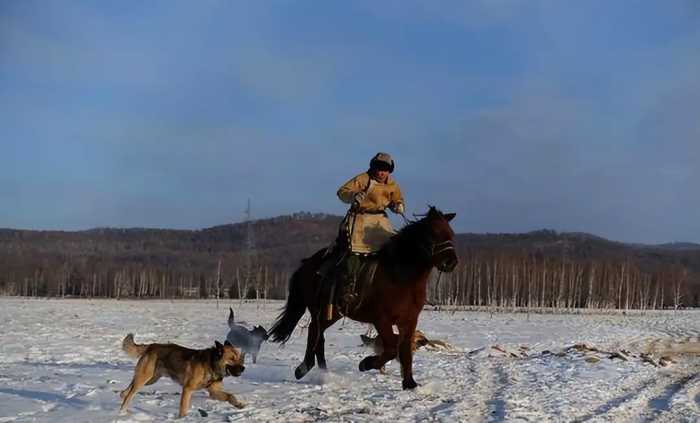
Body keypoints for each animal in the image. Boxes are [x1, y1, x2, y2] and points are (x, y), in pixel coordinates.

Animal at [268, 207, 460, 390]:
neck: (400, 276)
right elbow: (391, 348)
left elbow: (405, 351)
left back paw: (323, 371)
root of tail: (308, 263)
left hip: (333, 313)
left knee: (317, 333)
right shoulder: (381, 320)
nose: (451, 262)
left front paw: (409, 384)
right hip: (319, 309)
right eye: (434, 233)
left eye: (451, 233)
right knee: (314, 331)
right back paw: (305, 368)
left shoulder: (409, 320)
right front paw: (366, 363)